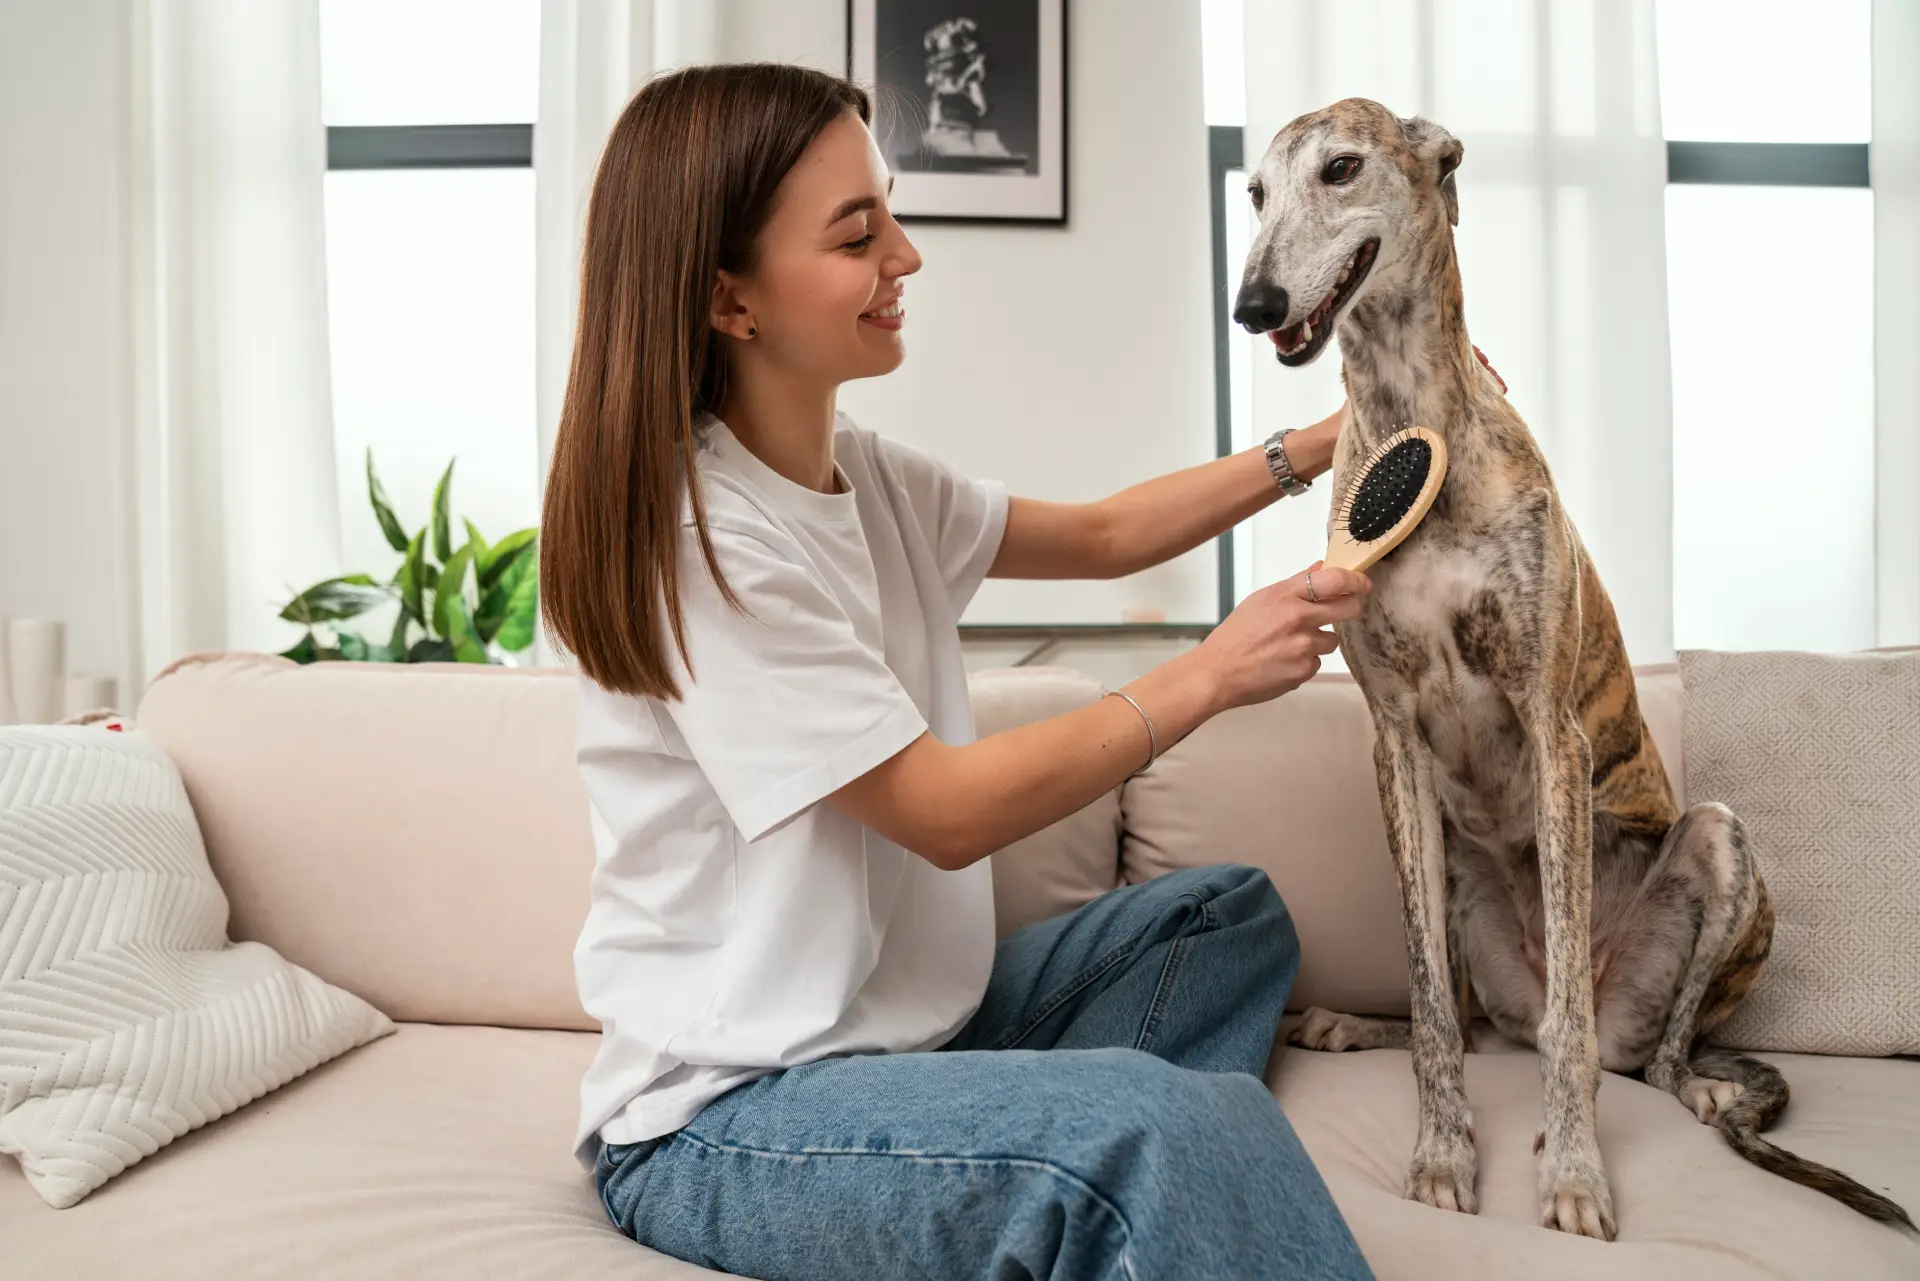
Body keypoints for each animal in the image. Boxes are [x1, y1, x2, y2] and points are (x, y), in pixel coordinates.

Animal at [1228, 100, 1904, 1244]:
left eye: (1343, 168)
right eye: (1256, 194)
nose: (1252, 303)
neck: (1414, 419)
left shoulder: (1552, 729)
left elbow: (1570, 1040)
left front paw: (1576, 1173)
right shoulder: (1392, 744)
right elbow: (1428, 1007)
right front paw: (1442, 1151)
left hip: (1715, 851)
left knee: (1638, 1053)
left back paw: (1696, 1083)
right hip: (1457, 872)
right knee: (1474, 1017)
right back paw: (1352, 1023)